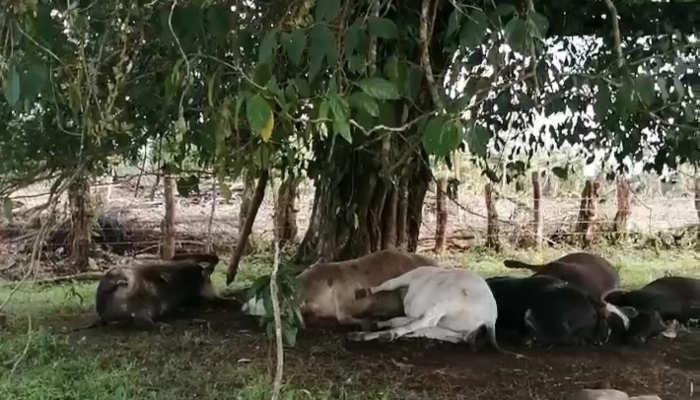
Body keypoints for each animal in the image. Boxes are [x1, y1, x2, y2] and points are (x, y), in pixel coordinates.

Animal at [348, 268, 524, 358]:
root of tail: (490, 319)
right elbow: (398, 318)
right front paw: (378, 323)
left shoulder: (410, 276)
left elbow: (388, 284)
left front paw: (363, 292)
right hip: (451, 330)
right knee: (423, 329)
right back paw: (365, 334)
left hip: (445, 301)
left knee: (425, 321)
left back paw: (385, 334)